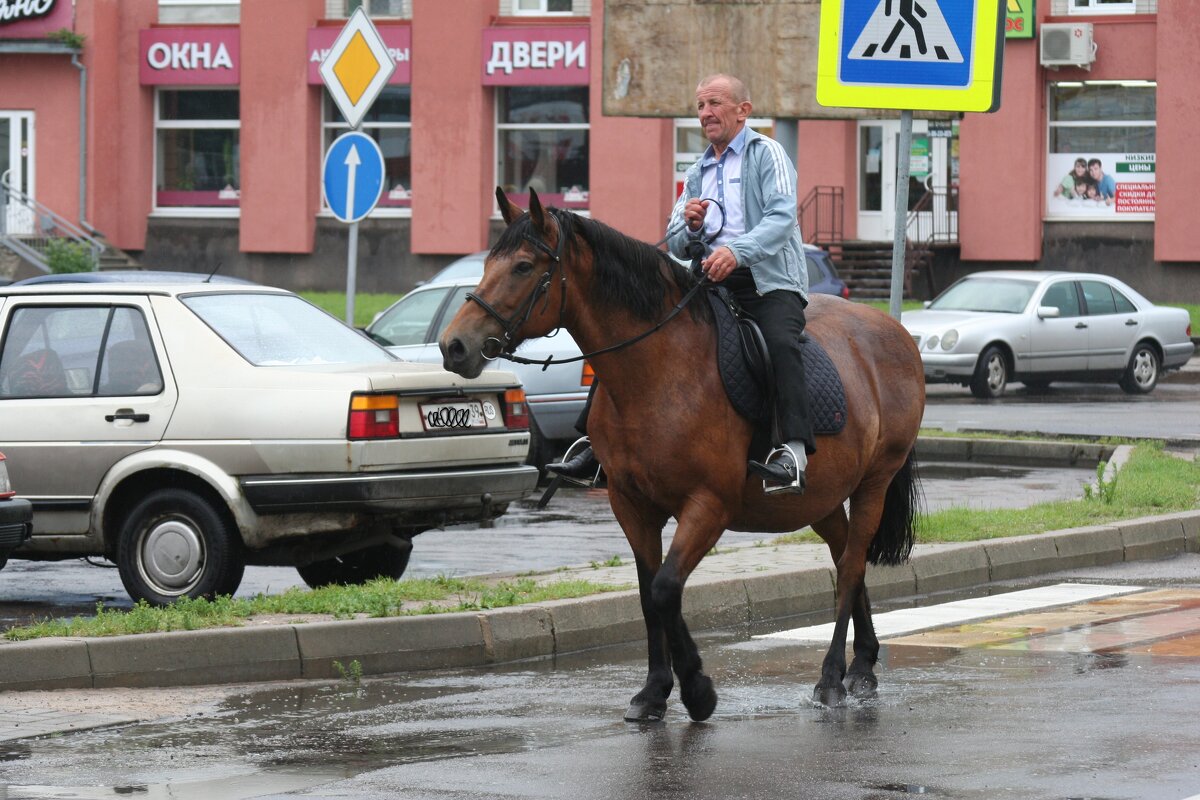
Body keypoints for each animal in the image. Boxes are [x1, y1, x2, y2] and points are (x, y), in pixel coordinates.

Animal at [441, 188, 926, 719]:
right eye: (490, 263)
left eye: (524, 266)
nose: (454, 346)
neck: (659, 372)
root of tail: (893, 330)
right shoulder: (631, 504)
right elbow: (647, 593)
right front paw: (654, 691)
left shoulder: (708, 505)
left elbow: (666, 588)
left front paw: (697, 688)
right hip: (820, 497)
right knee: (844, 561)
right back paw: (863, 666)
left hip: (873, 484)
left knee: (853, 563)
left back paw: (833, 678)